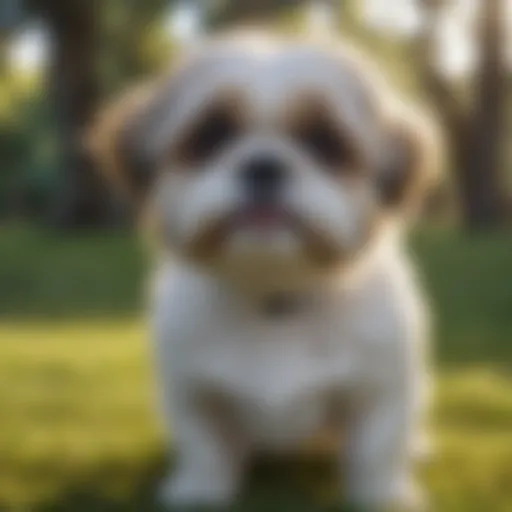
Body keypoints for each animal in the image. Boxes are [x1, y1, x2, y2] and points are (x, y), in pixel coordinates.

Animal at [89, 31, 440, 508]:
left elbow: (376, 448)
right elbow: (204, 445)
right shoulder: (193, 389)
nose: (264, 165)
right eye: (211, 134)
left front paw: (383, 495)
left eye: (324, 141)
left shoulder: (382, 385)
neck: (273, 295)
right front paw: (199, 489)